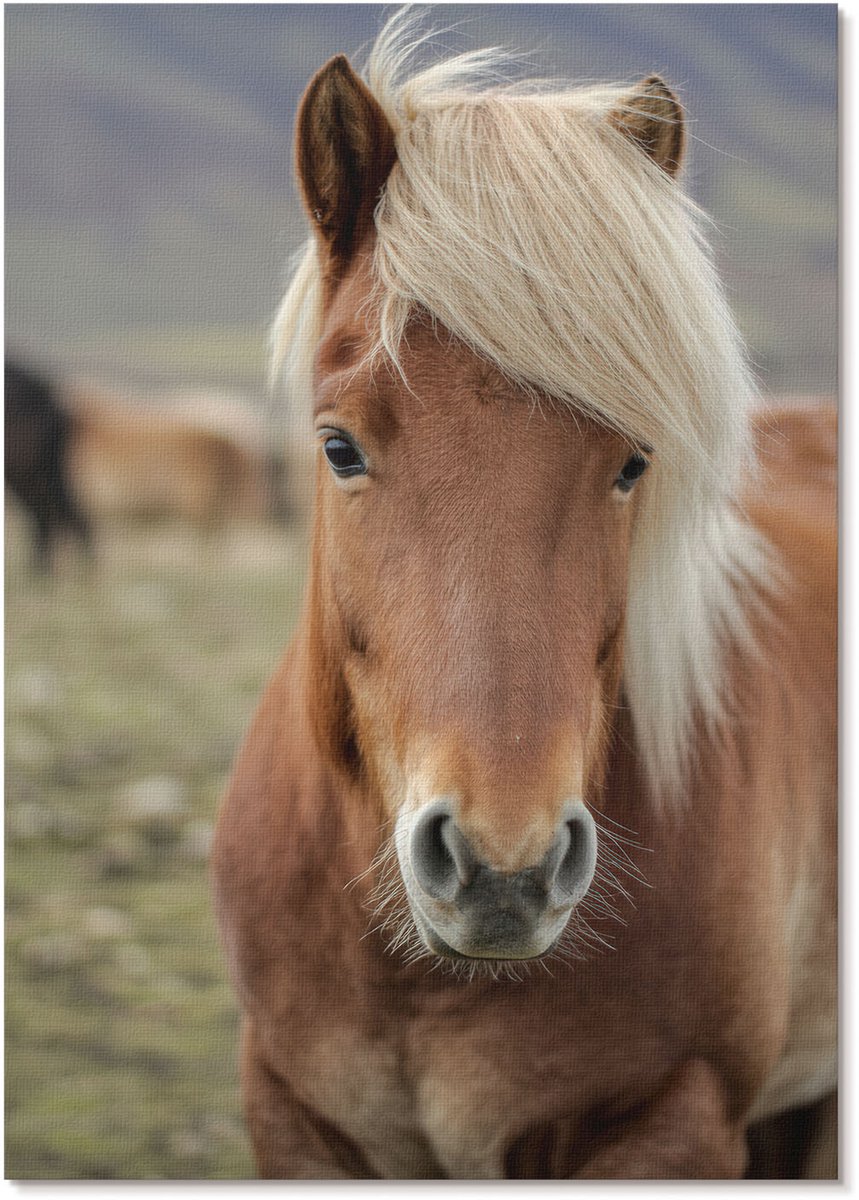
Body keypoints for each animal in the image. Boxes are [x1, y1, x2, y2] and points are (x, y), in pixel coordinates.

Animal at [212, 14, 836, 1180]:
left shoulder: (672, 1124)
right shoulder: (294, 1116)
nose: (503, 869)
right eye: (338, 447)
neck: (419, 981)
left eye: (632, 463)